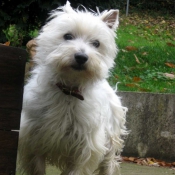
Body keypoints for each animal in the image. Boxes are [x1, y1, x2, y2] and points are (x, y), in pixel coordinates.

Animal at [18, 1, 127, 175]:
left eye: (96, 43)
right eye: (68, 36)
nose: (81, 57)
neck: (68, 90)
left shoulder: (86, 147)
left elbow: (78, 168)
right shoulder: (33, 140)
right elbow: (37, 167)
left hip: (111, 140)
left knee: (109, 164)